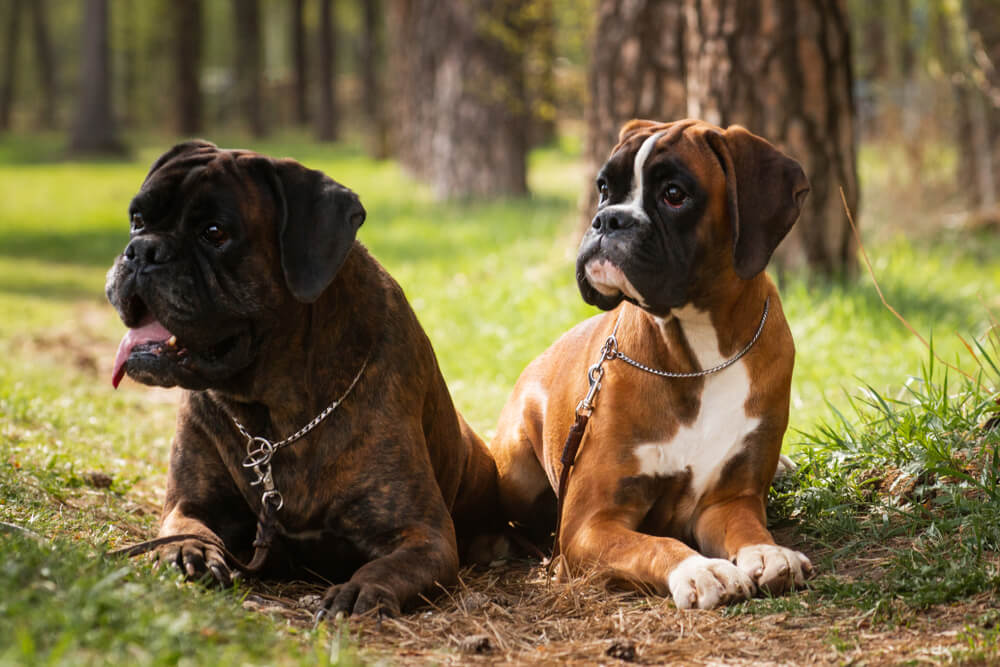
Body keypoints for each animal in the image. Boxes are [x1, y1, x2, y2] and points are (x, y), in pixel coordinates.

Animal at [105, 142, 500, 620]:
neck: (275, 419)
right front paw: (187, 551)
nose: (142, 251)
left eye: (215, 233)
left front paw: (358, 590)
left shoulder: (424, 535)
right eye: (137, 219)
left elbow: (385, 566)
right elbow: (186, 528)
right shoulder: (191, 502)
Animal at [490, 118, 812, 612]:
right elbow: (654, 545)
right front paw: (700, 569)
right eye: (605, 188)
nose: (608, 219)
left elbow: (747, 529)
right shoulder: (589, 523)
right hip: (516, 474)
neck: (698, 356)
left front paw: (768, 552)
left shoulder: (728, 500)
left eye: (674, 194)